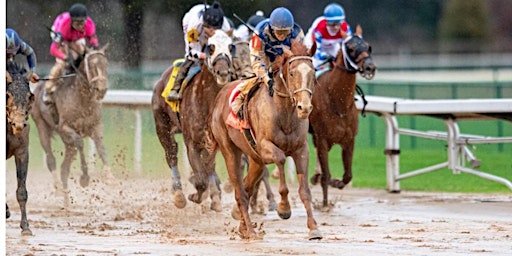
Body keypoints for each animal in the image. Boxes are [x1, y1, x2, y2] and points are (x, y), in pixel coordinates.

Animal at [207, 40, 320, 240]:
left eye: (313, 72)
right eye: (292, 73)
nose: (304, 107)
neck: (284, 113)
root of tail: (219, 96)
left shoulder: (301, 150)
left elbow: (305, 191)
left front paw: (314, 228)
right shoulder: (265, 147)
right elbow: (281, 159)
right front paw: (284, 208)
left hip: (255, 159)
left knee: (247, 186)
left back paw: (243, 227)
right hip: (230, 150)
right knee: (240, 192)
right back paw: (251, 231)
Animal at [308, 25, 376, 208]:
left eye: (368, 46)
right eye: (351, 48)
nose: (370, 67)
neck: (337, 102)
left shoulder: (348, 139)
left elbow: (347, 176)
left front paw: (336, 182)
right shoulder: (323, 138)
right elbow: (326, 176)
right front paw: (324, 205)